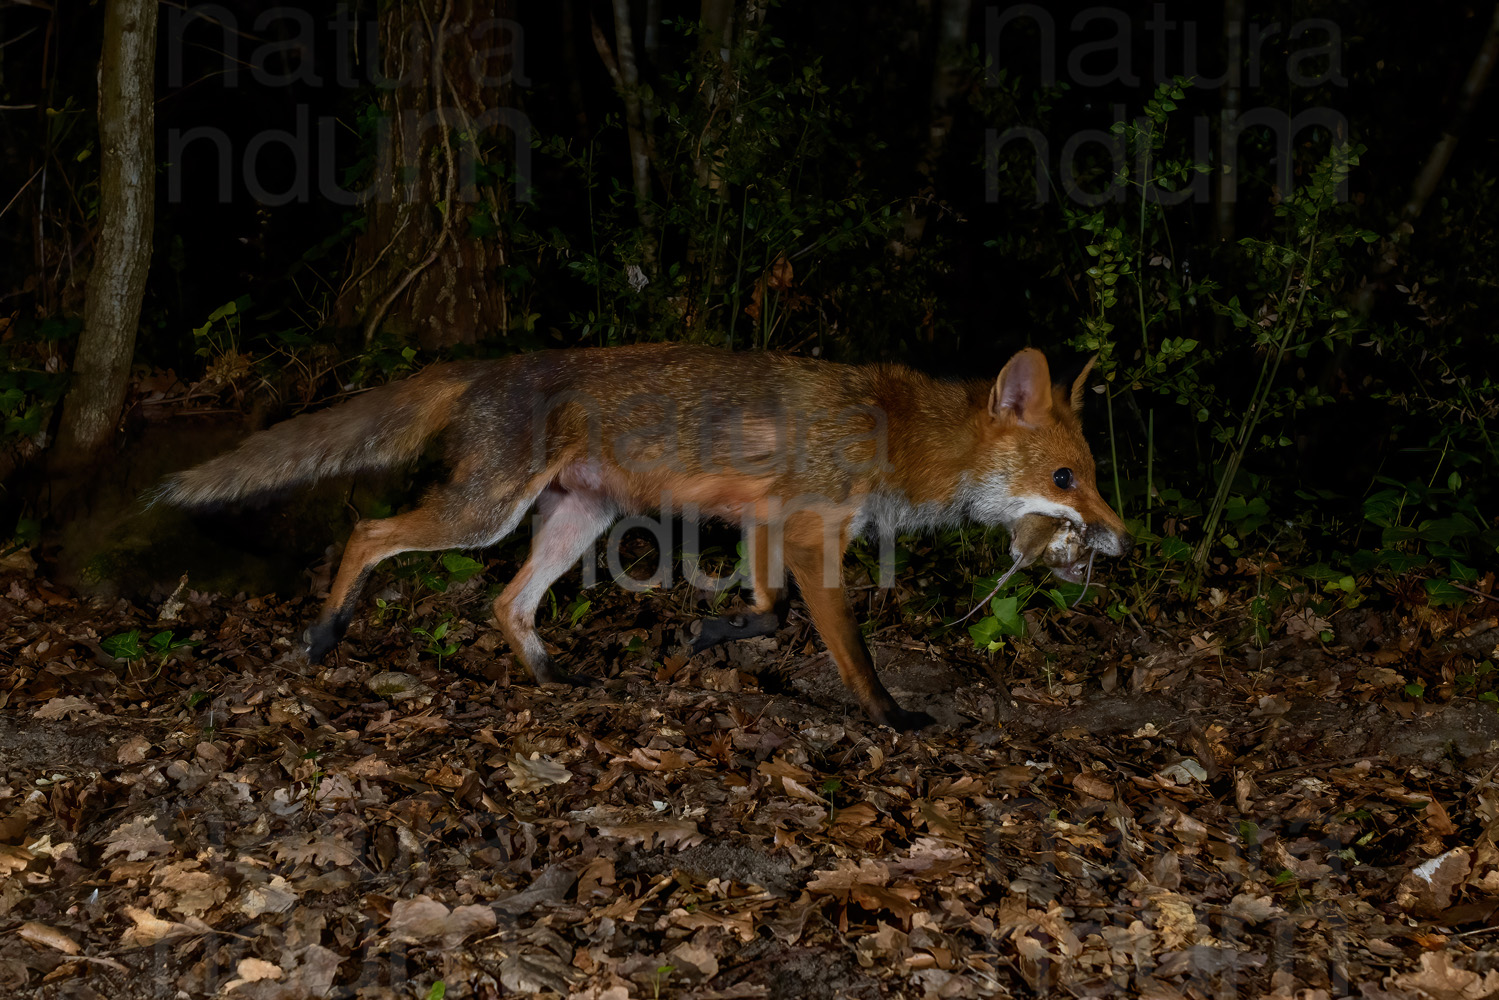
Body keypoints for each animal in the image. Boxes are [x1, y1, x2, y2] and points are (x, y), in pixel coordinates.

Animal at [158, 344, 1127, 728]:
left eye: (1090, 473)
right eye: (1065, 480)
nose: (1124, 542)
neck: (900, 436)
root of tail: (486, 366)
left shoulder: (768, 524)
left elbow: (769, 613)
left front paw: (704, 635)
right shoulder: (811, 531)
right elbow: (849, 651)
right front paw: (890, 717)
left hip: (574, 520)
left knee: (507, 604)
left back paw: (553, 677)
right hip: (483, 514)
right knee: (367, 532)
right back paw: (326, 632)